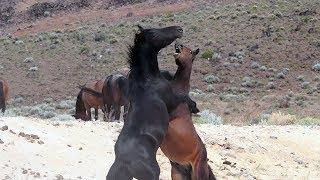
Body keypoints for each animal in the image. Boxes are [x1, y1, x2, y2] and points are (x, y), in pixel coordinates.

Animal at [107, 25, 198, 180]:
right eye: (155, 33)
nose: (179, 29)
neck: (148, 79)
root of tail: (125, 162)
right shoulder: (172, 99)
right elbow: (183, 96)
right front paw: (194, 106)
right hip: (153, 173)